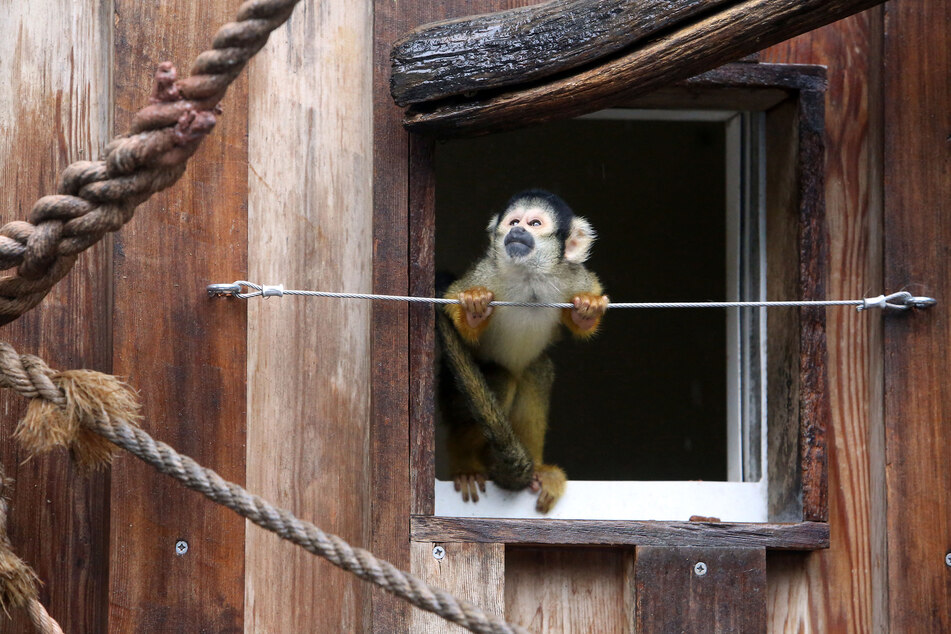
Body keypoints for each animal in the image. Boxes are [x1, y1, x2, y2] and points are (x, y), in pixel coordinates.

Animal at [440, 185, 608, 512]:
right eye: (514, 221)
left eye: (534, 224)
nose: (517, 231)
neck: (529, 276)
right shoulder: (484, 272)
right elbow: (456, 317)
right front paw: (473, 308)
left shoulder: (572, 275)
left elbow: (582, 318)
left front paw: (588, 309)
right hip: (449, 395)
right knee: (502, 379)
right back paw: (465, 465)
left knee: (536, 371)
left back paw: (539, 471)